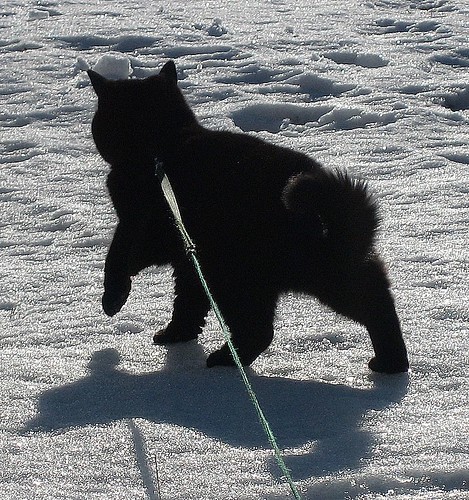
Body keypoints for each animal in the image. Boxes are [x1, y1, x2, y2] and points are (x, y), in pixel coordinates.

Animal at [88, 60, 410, 374]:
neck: (161, 145)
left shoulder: (141, 227)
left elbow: (117, 259)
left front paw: (113, 298)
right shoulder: (187, 258)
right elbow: (189, 300)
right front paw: (176, 334)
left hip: (237, 278)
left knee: (260, 330)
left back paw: (225, 360)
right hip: (332, 274)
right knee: (377, 304)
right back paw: (391, 364)